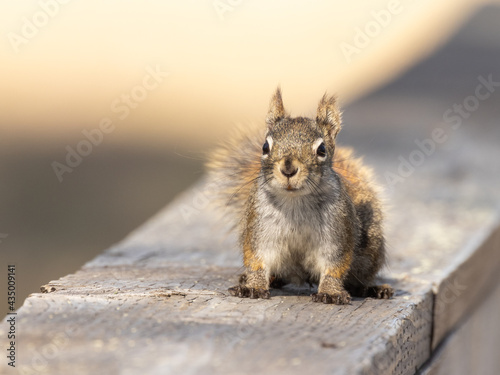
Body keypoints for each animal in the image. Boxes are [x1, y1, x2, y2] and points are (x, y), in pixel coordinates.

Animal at [205, 88, 392, 306]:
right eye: (265, 147)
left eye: (322, 150)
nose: (288, 168)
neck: (295, 200)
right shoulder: (260, 228)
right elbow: (258, 259)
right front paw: (253, 286)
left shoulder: (337, 231)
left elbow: (334, 265)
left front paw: (330, 292)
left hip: (370, 253)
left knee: (359, 279)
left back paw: (373, 289)